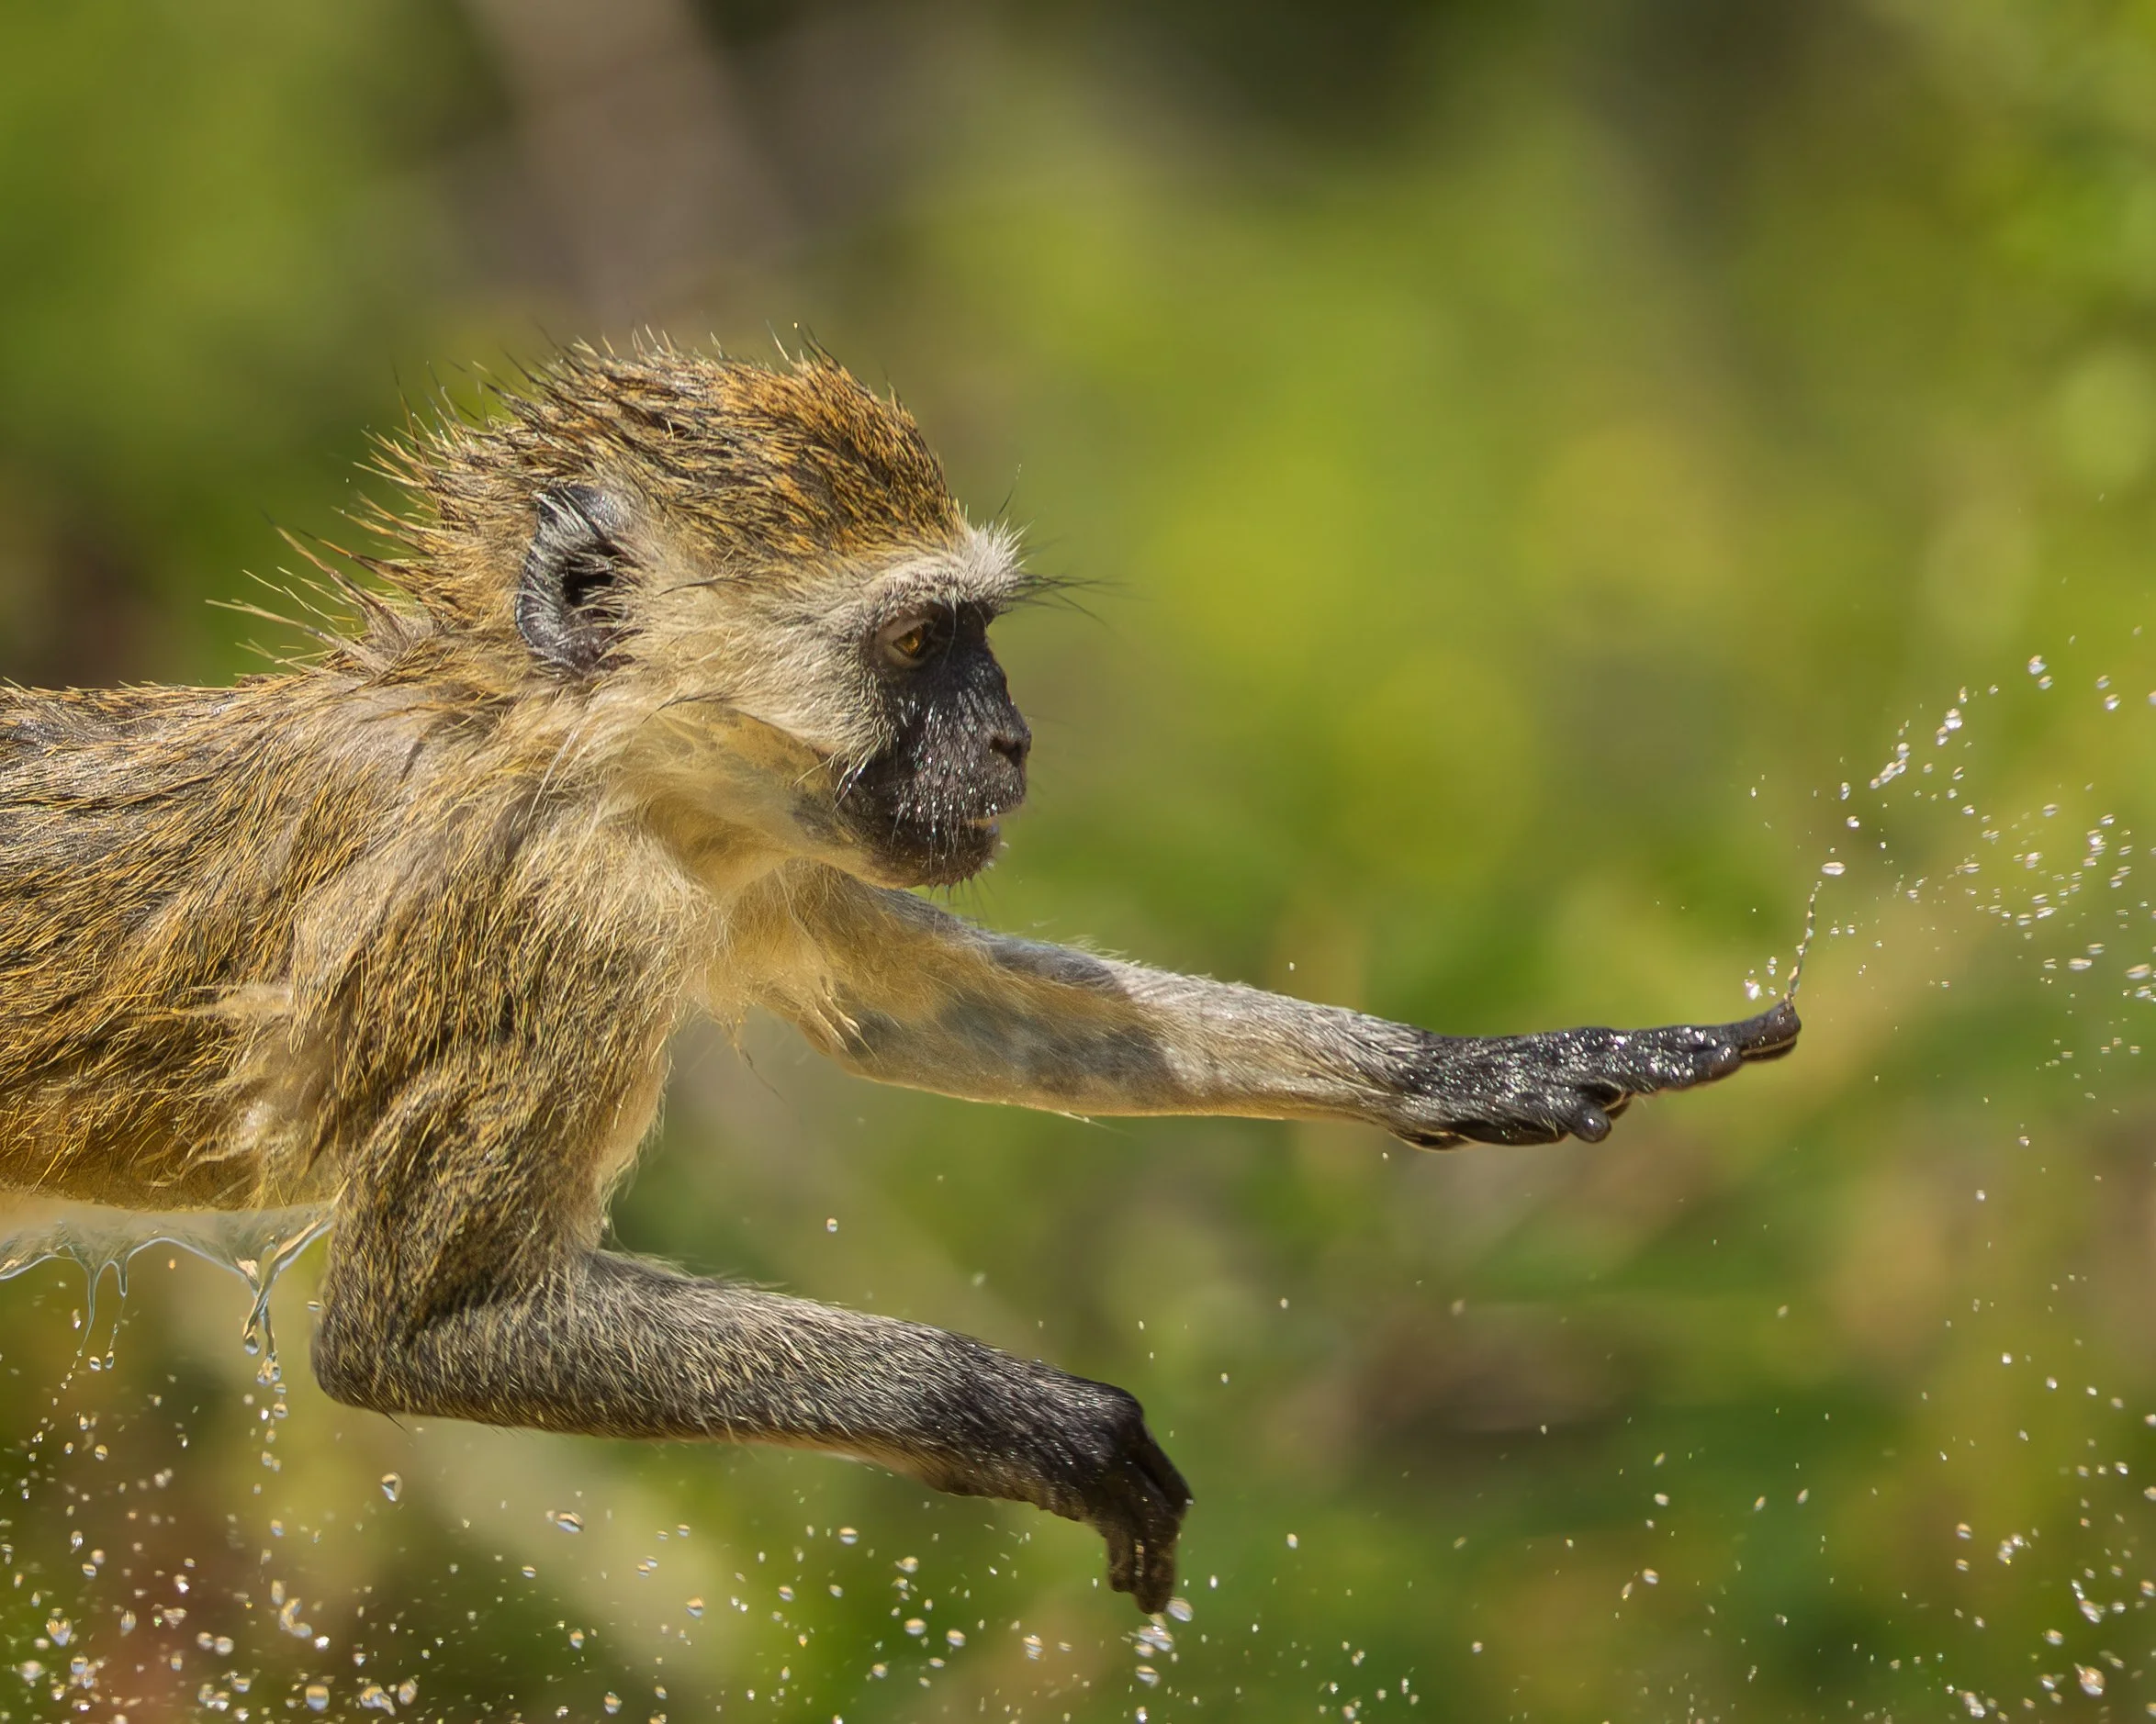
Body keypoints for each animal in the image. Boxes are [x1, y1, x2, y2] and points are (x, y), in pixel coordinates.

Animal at [0, 343, 1797, 1614]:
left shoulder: (752, 846)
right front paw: (1028, 1417)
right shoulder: (556, 918)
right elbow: (413, 1338)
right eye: (923, 643)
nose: (1013, 744)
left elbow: (907, 1008)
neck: (572, 740)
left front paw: (1467, 1070)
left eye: (979, 637)